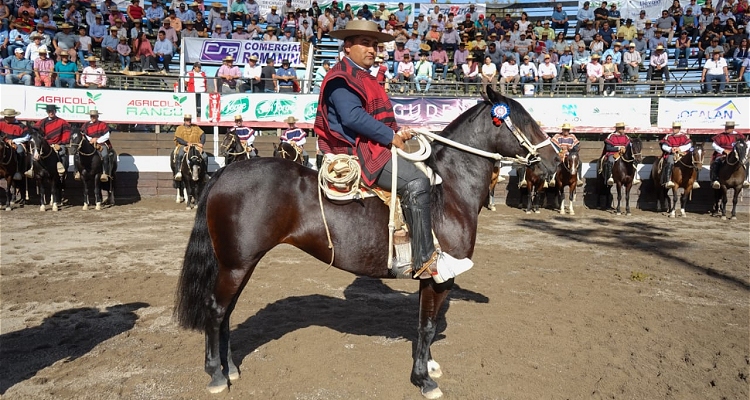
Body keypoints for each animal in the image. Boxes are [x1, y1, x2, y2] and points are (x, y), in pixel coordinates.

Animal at [173, 88, 560, 400]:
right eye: (524, 122)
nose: (555, 159)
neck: (447, 190)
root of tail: (226, 172)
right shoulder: (437, 276)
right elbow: (427, 325)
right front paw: (424, 380)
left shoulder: (437, 280)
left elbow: (429, 324)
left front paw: (430, 366)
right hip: (236, 264)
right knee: (216, 310)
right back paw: (217, 374)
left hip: (238, 264)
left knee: (226, 313)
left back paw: (231, 367)